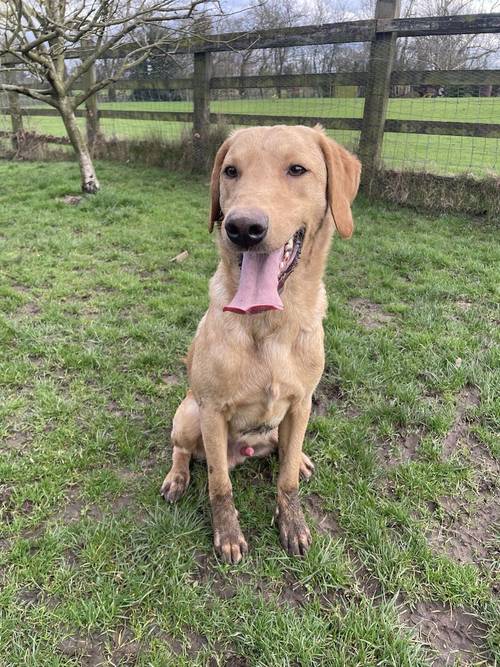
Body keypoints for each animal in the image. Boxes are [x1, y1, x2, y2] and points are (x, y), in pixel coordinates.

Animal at [162, 124, 362, 564]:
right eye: (231, 171)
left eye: (297, 169)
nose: (242, 228)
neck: (269, 324)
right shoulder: (212, 412)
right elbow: (219, 484)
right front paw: (228, 534)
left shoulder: (302, 402)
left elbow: (286, 480)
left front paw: (293, 523)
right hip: (188, 415)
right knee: (183, 450)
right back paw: (177, 477)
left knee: (284, 449)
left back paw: (299, 458)